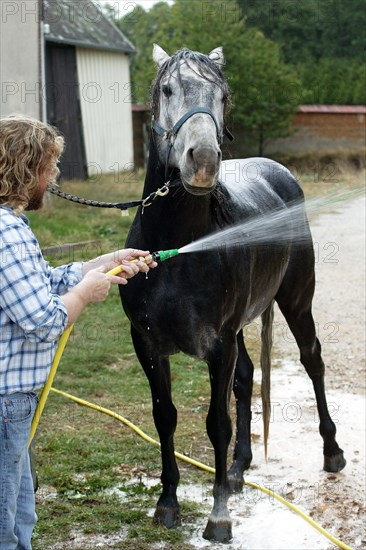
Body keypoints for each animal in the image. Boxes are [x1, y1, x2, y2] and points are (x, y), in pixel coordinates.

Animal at [118, 45, 344, 544]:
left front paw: (218, 516)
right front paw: (167, 503)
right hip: (243, 324)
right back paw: (240, 468)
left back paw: (332, 451)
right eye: (167, 89)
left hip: (296, 303)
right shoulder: (147, 345)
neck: (176, 247)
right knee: (246, 377)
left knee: (313, 361)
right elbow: (165, 416)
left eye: (222, 96)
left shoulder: (217, 345)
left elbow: (215, 424)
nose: (202, 159)